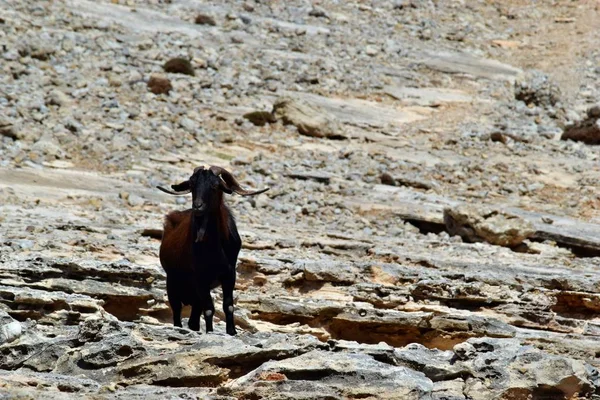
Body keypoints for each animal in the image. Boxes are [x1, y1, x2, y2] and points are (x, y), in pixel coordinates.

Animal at [157, 166, 268, 334]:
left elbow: (228, 306)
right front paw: (210, 331)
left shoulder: (229, 275)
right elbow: (209, 309)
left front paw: (232, 332)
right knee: (177, 311)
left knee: (193, 319)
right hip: (173, 282)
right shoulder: (200, 277)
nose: (198, 206)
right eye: (192, 184)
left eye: (215, 185)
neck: (214, 248)